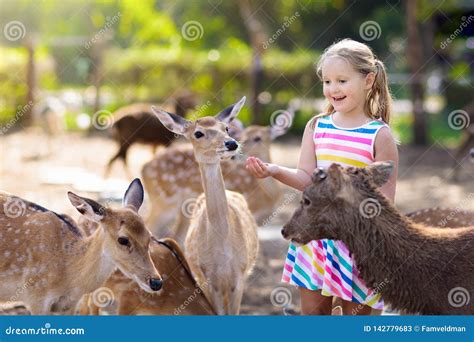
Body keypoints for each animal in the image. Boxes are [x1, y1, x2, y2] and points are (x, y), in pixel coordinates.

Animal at [141, 120, 288, 243]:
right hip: (164, 200)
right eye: (242, 135)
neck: (269, 195)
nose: (236, 151)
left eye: (258, 138)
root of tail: (144, 168)